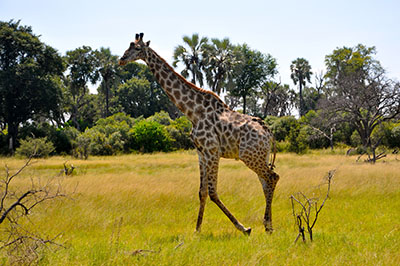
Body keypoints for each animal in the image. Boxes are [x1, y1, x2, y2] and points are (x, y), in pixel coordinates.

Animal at [120, 33, 280, 235]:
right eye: (128, 45)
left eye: (137, 48)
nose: (121, 59)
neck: (193, 112)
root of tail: (268, 132)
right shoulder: (201, 152)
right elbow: (202, 192)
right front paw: (197, 230)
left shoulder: (212, 151)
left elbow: (213, 192)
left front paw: (243, 228)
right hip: (259, 156)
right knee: (266, 182)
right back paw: (269, 226)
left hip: (249, 156)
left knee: (272, 177)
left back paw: (267, 225)